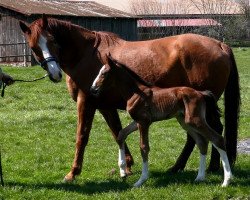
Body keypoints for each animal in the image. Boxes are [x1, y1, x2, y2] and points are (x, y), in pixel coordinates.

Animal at [20, 14, 240, 182]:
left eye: (53, 41)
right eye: (34, 47)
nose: (54, 73)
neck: (87, 54)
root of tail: (220, 44)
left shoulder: (86, 102)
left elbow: (81, 137)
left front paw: (73, 173)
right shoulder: (105, 105)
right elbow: (117, 132)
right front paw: (126, 167)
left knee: (209, 132)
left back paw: (205, 166)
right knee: (206, 133)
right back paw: (191, 167)